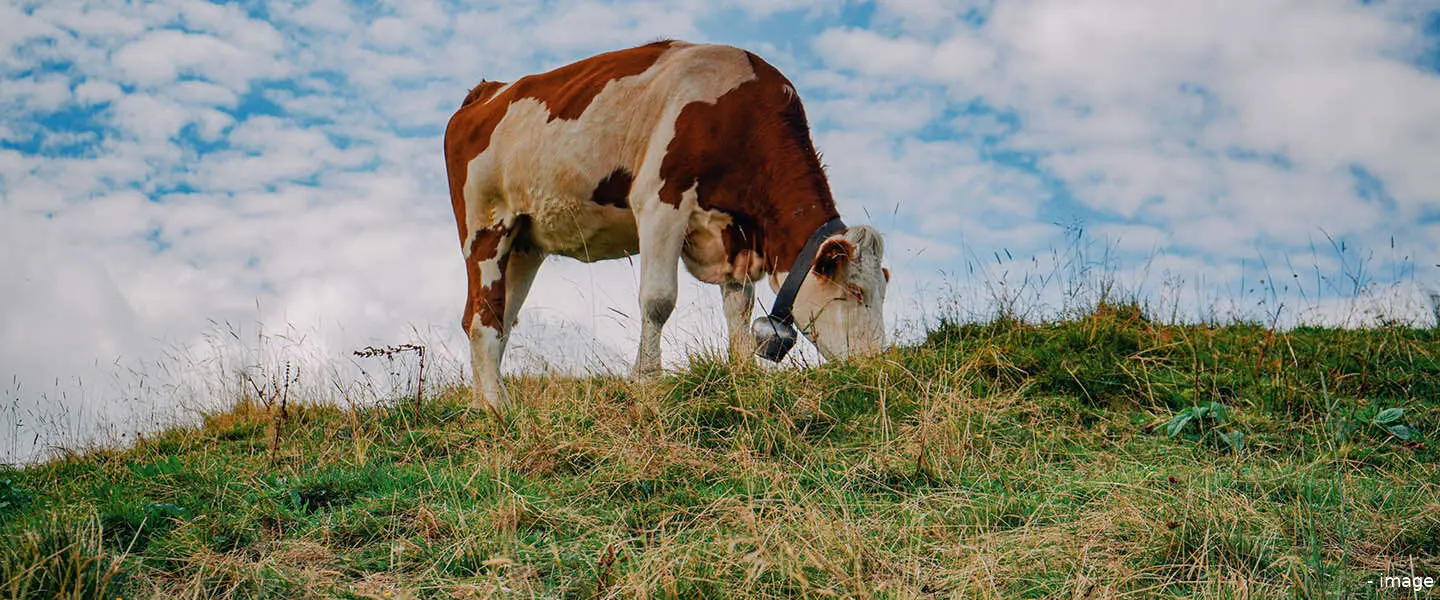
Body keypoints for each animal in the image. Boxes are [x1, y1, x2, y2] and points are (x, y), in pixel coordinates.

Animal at [444, 40, 890, 411]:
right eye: (855, 291)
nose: (877, 365)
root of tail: (488, 91)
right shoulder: (661, 203)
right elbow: (658, 301)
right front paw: (647, 380)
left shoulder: (735, 237)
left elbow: (739, 308)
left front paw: (742, 372)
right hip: (484, 227)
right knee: (481, 317)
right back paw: (496, 409)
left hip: (524, 243)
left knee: (501, 316)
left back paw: (487, 402)